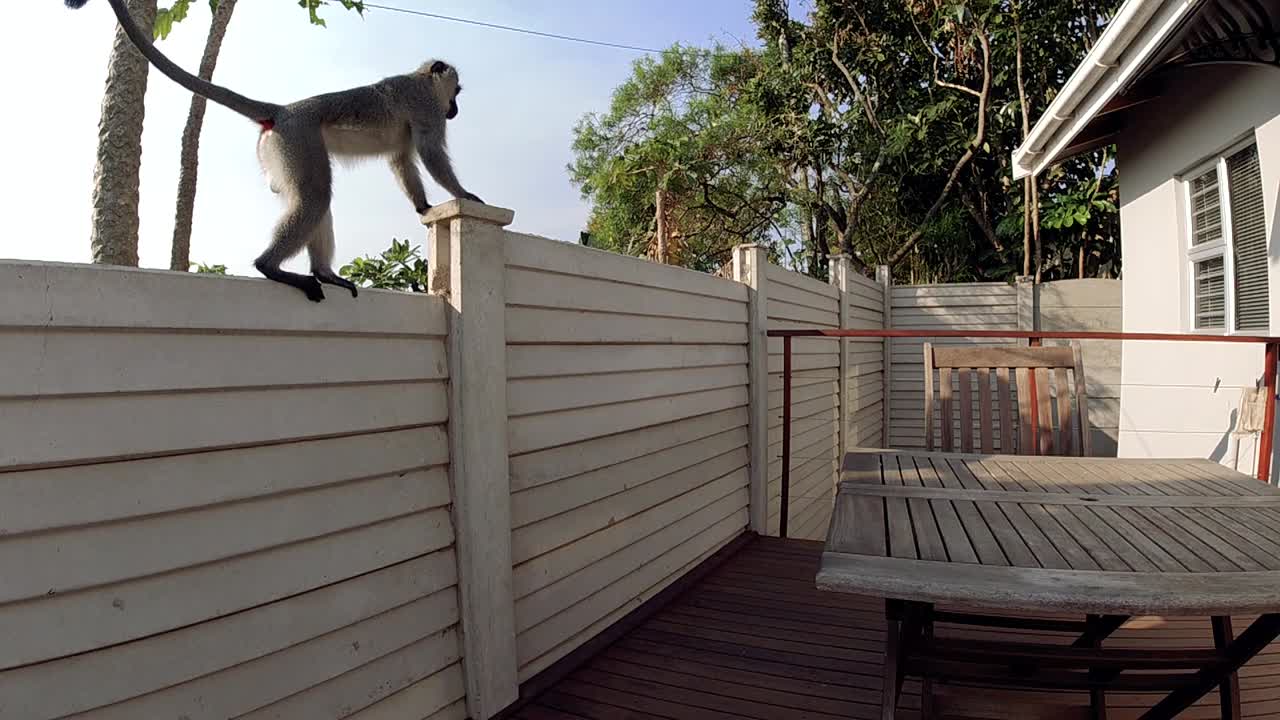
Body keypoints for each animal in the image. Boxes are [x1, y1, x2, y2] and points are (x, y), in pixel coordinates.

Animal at [65, 0, 487, 302]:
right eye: (455, 93)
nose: (455, 109)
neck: (421, 81)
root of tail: (283, 111)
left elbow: (402, 160)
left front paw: (423, 206)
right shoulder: (426, 108)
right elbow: (430, 152)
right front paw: (463, 194)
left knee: (316, 198)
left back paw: (322, 272)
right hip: (298, 138)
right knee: (316, 196)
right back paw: (271, 266)